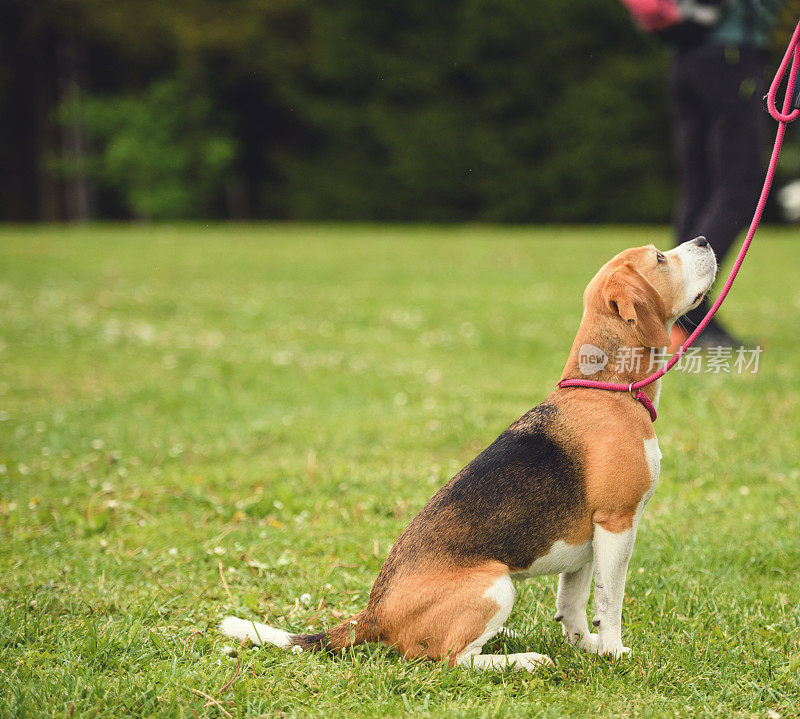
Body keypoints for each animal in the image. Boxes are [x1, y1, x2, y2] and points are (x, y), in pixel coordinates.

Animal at [223, 239, 720, 672]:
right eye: (660, 258)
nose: (703, 240)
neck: (607, 388)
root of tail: (371, 615)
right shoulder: (617, 522)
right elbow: (610, 601)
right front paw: (613, 653)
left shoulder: (586, 535)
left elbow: (574, 604)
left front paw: (588, 648)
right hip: (495, 586)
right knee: (454, 660)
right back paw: (521, 660)